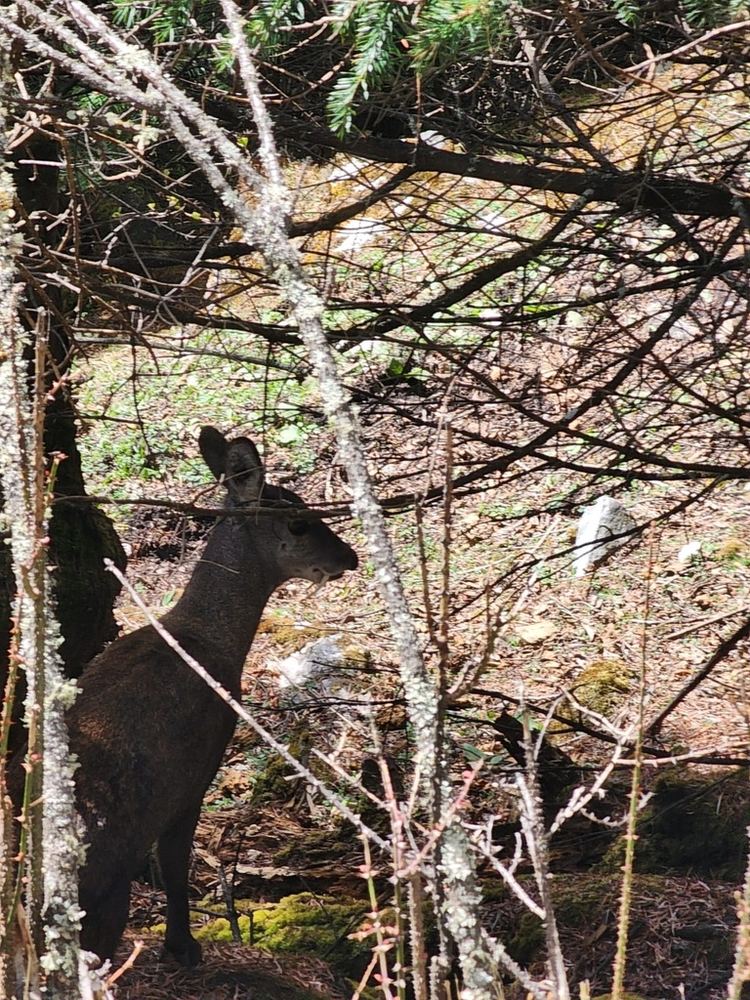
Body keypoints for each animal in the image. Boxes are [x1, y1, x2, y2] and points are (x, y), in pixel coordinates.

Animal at [15, 426, 358, 966]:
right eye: (300, 522)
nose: (350, 557)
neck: (212, 639)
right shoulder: (197, 770)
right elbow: (176, 867)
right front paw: (184, 946)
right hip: (106, 885)